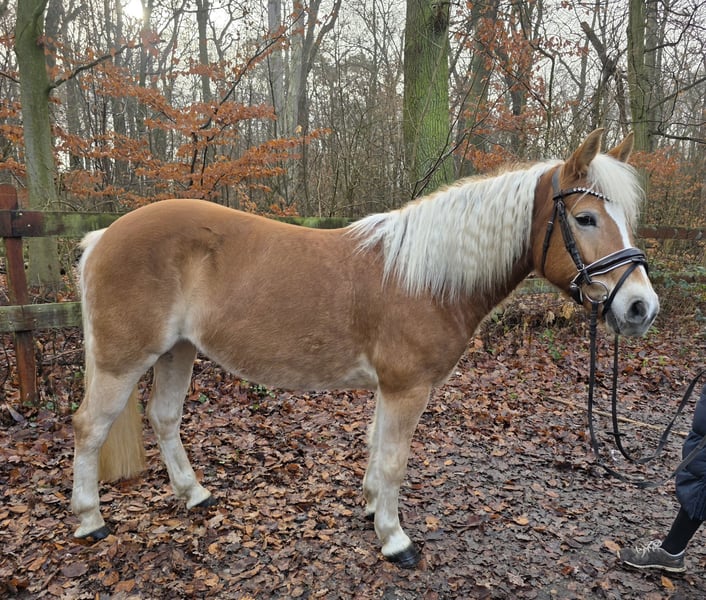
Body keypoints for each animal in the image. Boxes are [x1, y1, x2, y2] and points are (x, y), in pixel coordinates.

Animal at [70, 129, 659, 568]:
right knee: (89, 427)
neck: (427, 278)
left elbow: (377, 450)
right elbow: (395, 460)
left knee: (164, 417)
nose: (640, 307)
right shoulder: (406, 388)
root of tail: (102, 237)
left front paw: (373, 509)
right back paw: (90, 521)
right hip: (123, 361)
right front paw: (396, 541)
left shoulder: (389, 389)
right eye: (585, 218)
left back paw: (193, 493)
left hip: (178, 351)